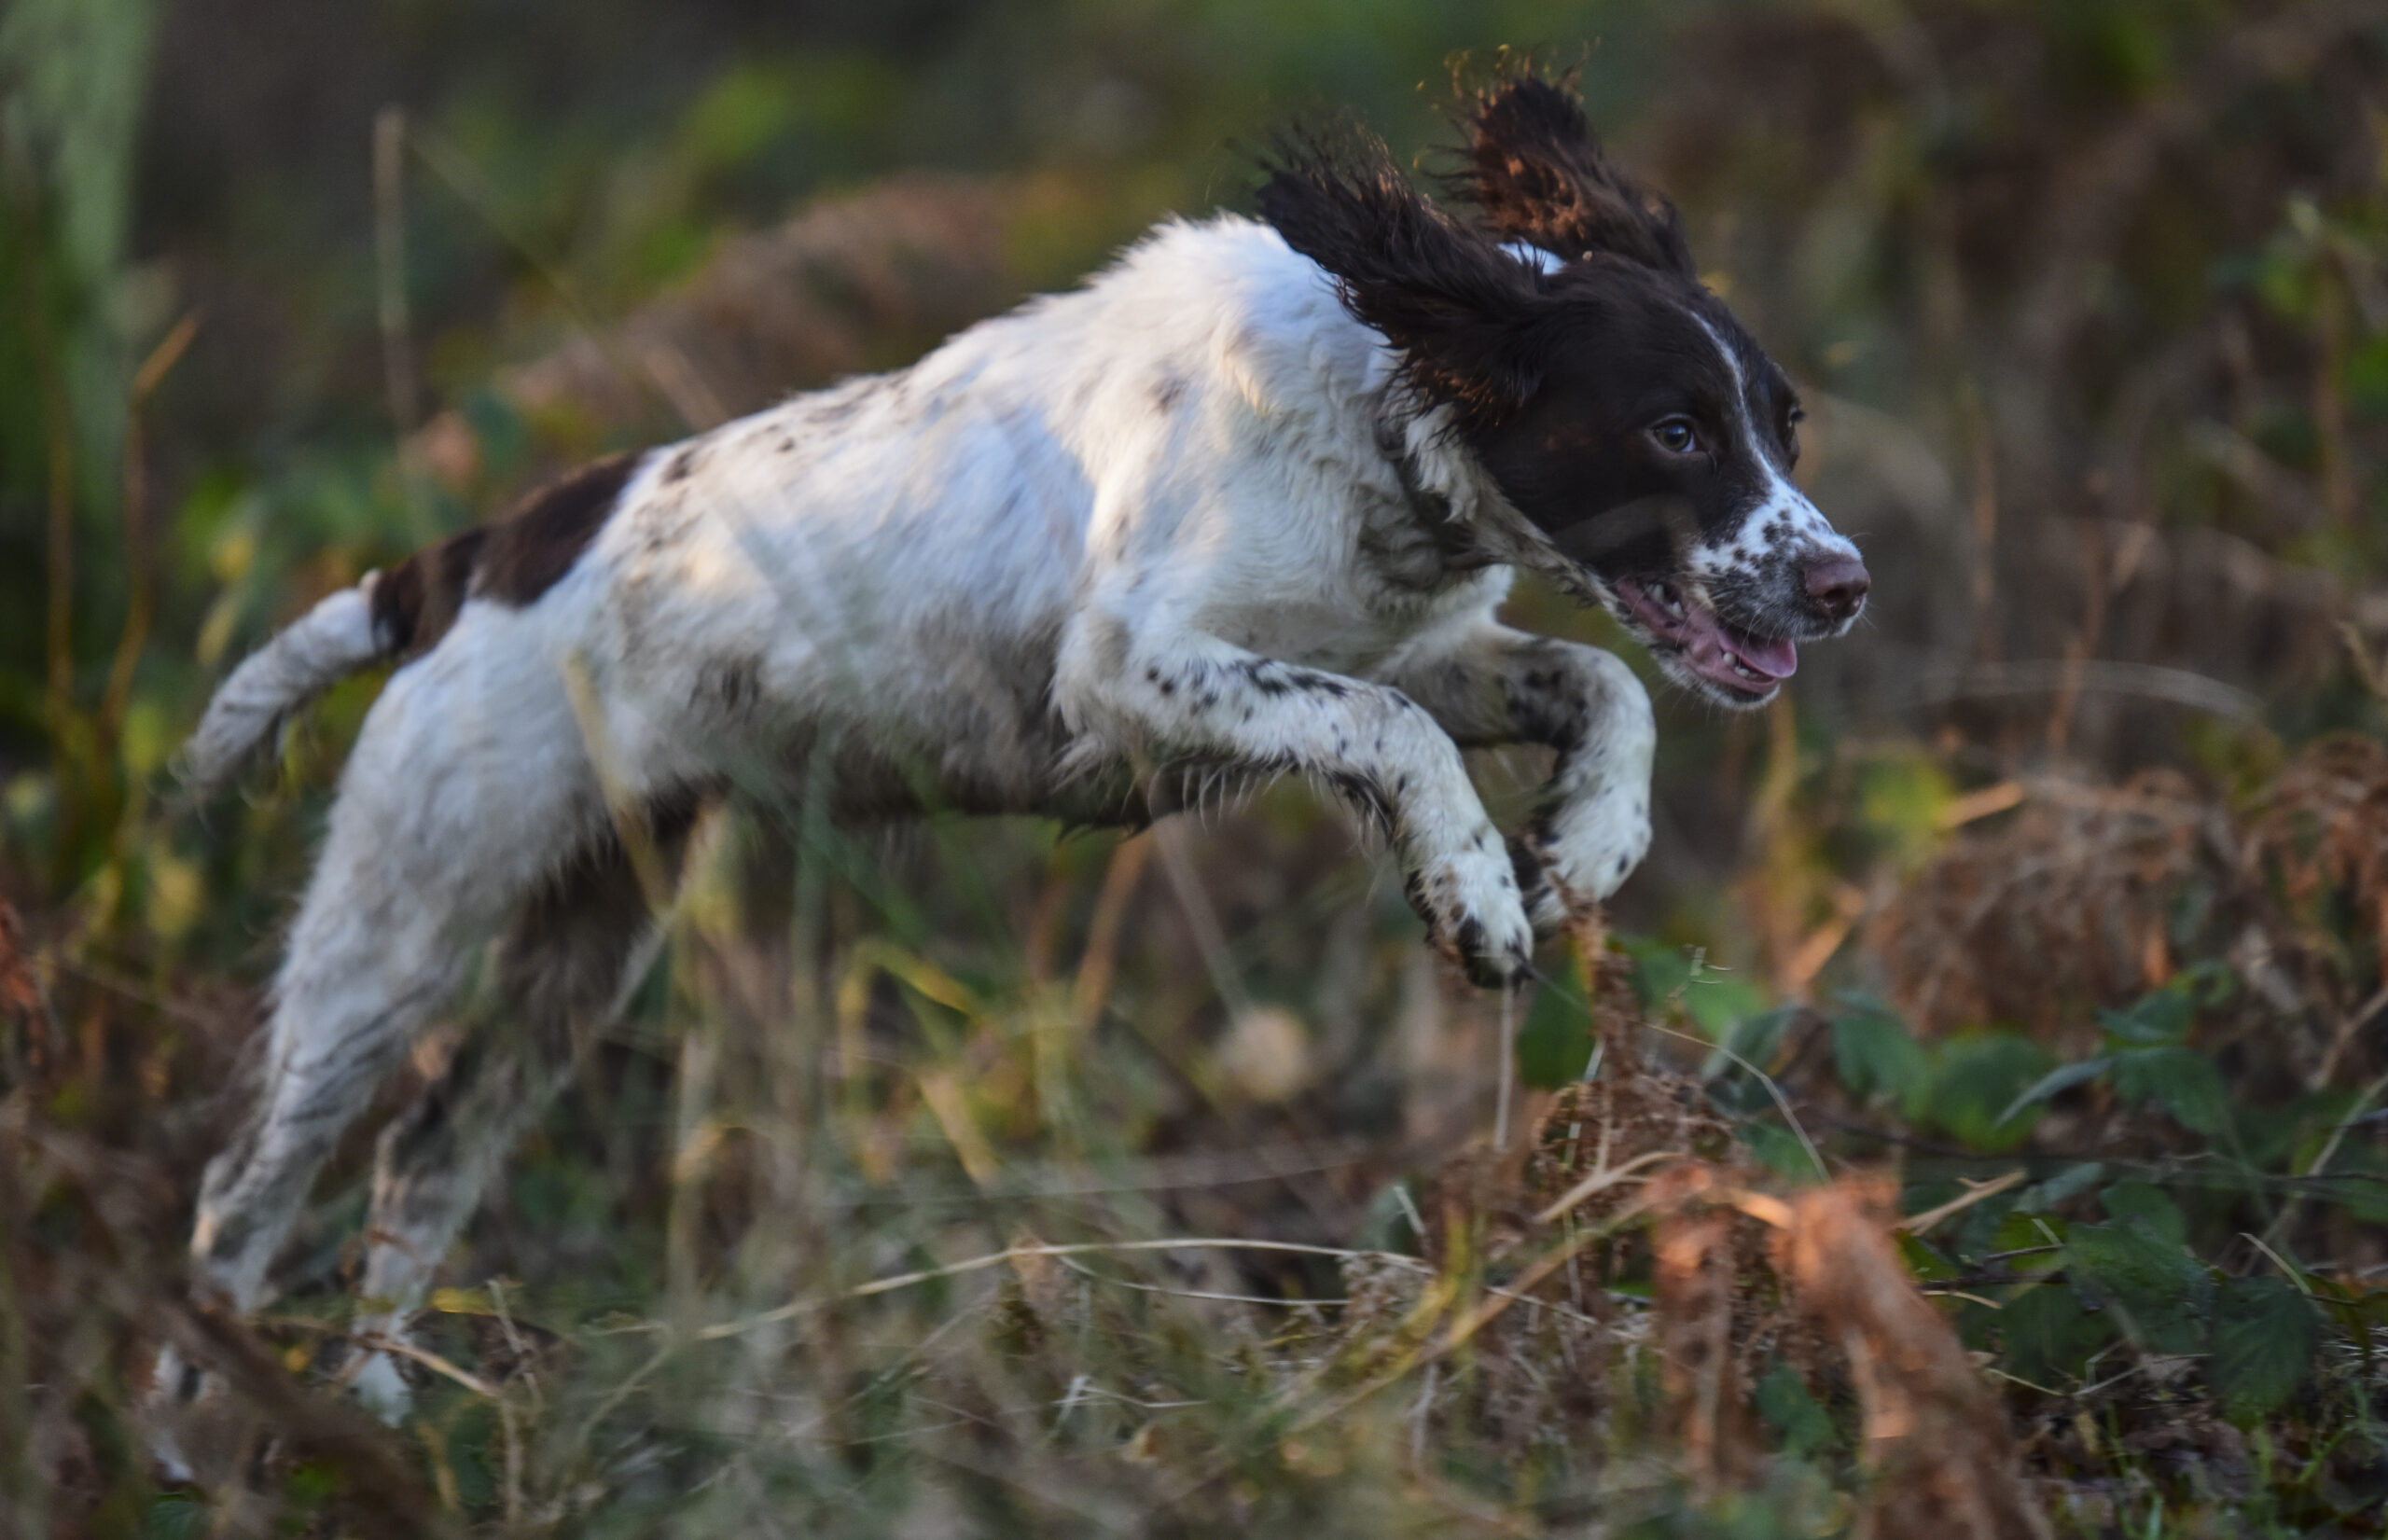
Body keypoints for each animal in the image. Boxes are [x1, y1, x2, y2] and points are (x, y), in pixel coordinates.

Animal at [149, 72, 1872, 1432]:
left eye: (1785, 422)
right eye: (1673, 431)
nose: (1843, 583)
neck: (1375, 411)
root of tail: (466, 557)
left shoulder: (1415, 645)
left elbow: (1600, 679)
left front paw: (1586, 841)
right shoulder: (1133, 670)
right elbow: (1395, 736)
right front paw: (1478, 896)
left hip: (586, 941)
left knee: (422, 1161)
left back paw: (381, 1402)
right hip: (400, 929)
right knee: (241, 1197)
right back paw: (191, 1431)